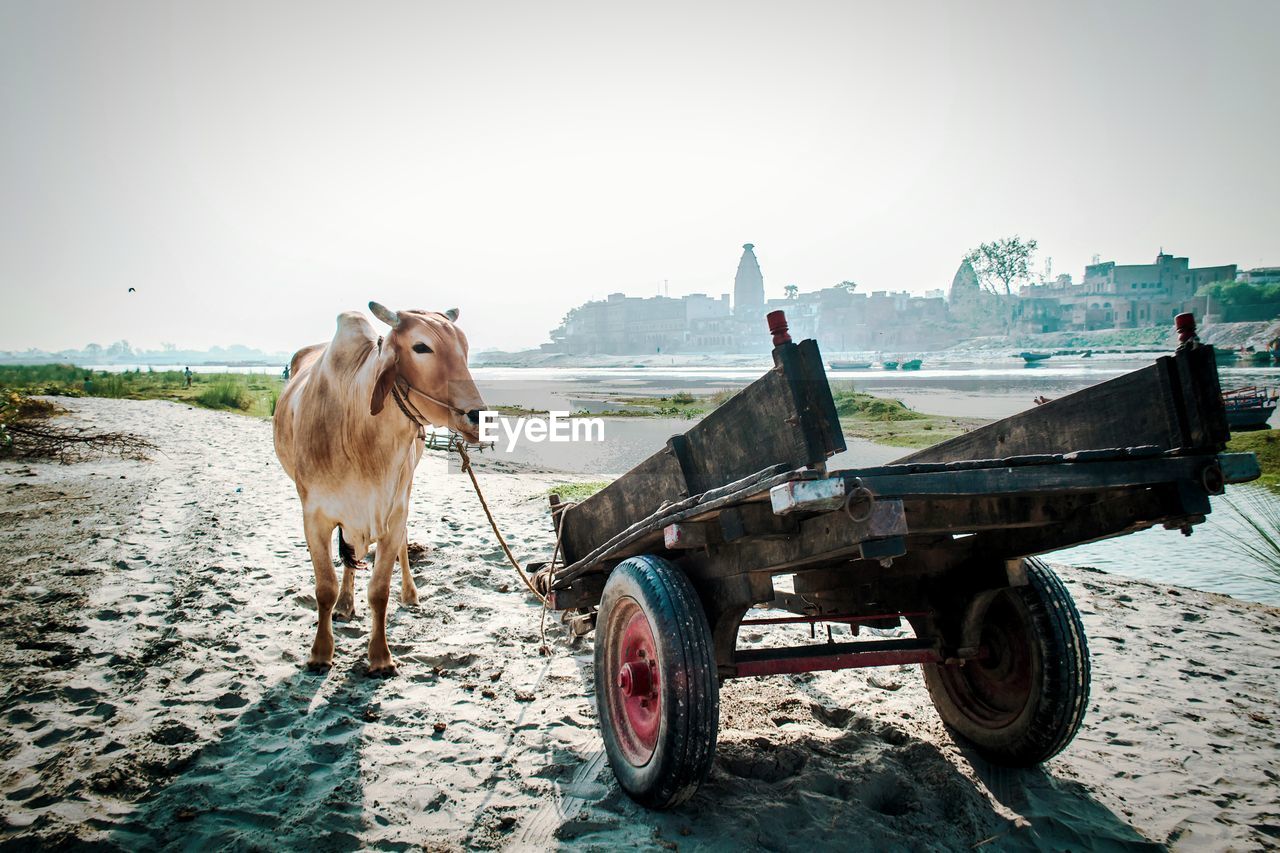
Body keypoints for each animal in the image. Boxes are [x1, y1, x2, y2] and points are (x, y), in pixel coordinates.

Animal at [272, 302, 486, 676]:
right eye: (421, 347)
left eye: (464, 346)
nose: (476, 415)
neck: (359, 434)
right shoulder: (314, 516)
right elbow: (325, 587)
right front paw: (320, 652)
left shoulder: (393, 511)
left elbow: (379, 590)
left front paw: (380, 656)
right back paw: (345, 604)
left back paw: (410, 594)